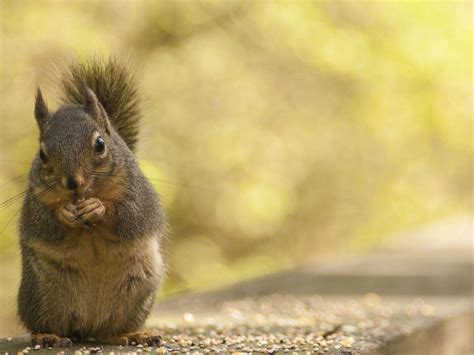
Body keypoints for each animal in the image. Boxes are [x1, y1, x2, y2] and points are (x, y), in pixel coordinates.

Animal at [17, 57, 167, 348]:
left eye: (100, 144)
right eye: (42, 154)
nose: (72, 183)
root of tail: (87, 327)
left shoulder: (140, 195)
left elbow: (132, 217)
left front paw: (98, 208)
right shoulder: (33, 205)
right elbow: (45, 225)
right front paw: (64, 213)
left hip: (136, 292)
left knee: (110, 331)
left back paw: (132, 334)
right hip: (42, 293)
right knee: (50, 323)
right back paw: (48, 335)